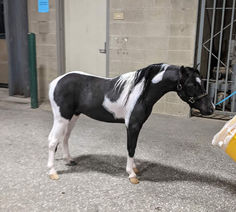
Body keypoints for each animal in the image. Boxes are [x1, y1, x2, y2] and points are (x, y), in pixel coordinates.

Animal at [47, 63, 215, 184]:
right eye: (192, 84)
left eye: (200, 82)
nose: (211, 108)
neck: (141, 93)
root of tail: (55, 82)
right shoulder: (133, 125)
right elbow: (131, 148)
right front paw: (132, 174)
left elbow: (133, 148)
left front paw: (135, 168)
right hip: (62, 118)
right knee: (53, 141)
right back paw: (52, 172)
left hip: (73, 117)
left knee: (65, 138)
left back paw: (69, 160)